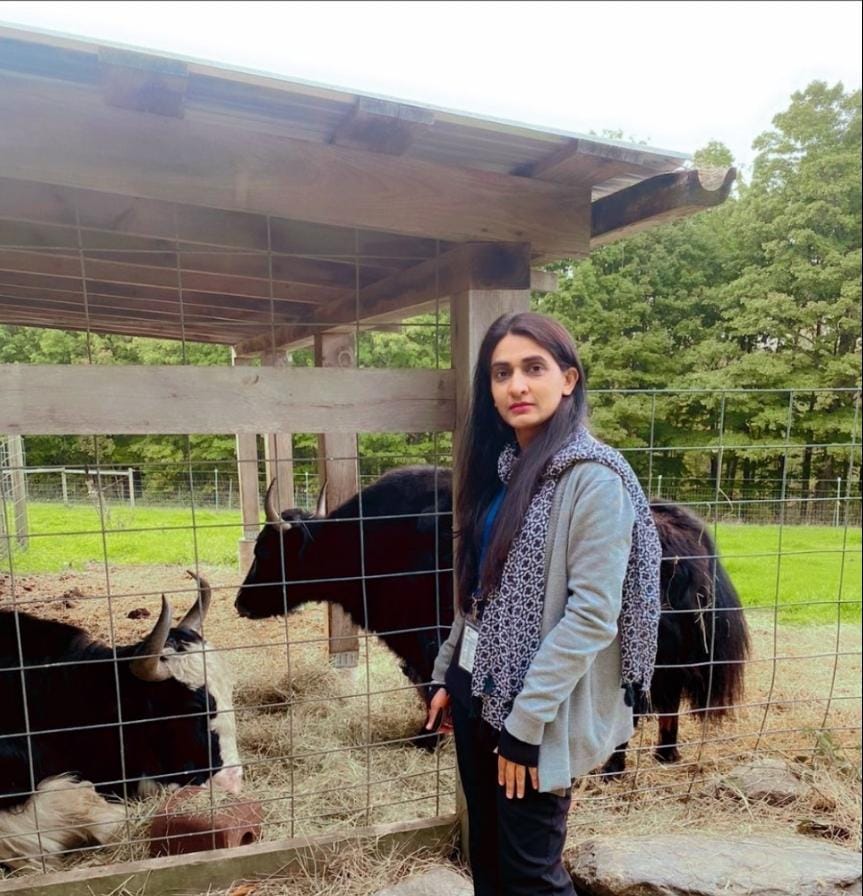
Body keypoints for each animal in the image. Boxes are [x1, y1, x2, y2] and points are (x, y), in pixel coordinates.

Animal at [236, 466, 748, 768]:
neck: (367, 540)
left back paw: (612, 768)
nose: (241, 604)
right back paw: (664, 756)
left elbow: (431, 686)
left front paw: (425, 741)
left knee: (636, 707)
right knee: (665, 703)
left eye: (266, 550)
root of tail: (688, 543)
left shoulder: (428, 638)